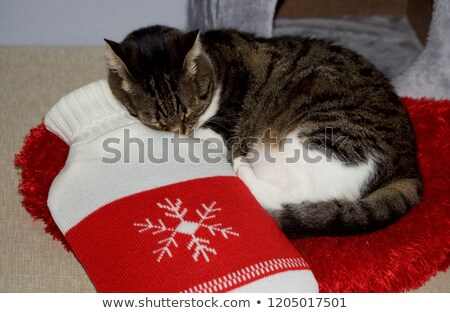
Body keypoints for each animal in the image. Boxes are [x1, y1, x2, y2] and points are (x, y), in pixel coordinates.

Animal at [103, 26, 420, 236]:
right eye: (155, 121)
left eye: (191, 110)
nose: (180, 132)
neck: (215, 62)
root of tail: (409, 166)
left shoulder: (219, 129)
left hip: (319, 136)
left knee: (296, 192)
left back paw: (242, 169)